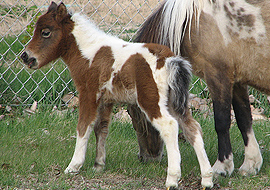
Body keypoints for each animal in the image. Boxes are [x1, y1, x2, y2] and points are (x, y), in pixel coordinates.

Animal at [21, 1, 214, 189]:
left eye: (46, 32)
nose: (25, 56)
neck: (90, 54)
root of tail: (169, 59)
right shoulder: (106, 100)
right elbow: (101, 128)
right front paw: (98, 165)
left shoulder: (88, 94)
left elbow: (83, 126)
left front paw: (73, 166)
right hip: (175, 102)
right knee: (192, 128)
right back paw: (207, 178)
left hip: (151, 101)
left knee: (170, 126)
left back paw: (172, 179)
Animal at [130, 0, 268, 177]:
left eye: (135, 113)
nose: (144, 157)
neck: (191, 22)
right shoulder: (237, 81)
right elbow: (244, 119)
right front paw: (250, 164)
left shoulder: (218, 76)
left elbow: (222, 122)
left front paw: (222, 167)